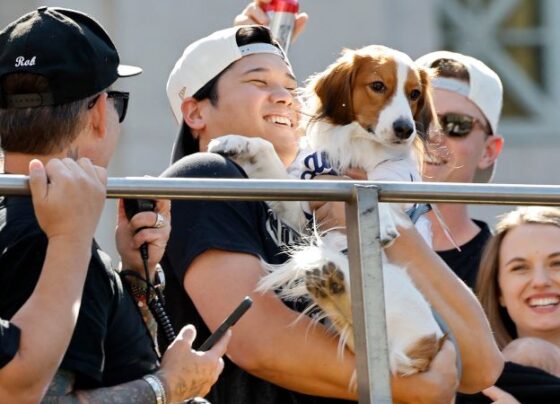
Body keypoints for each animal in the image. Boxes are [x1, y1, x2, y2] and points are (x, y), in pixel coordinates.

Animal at [209, 45, 446, 378]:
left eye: (414, 94)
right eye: (378, 86)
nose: (405, 129)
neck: (359, 146)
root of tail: (424, 347)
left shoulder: (398, 177)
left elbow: (383, 182)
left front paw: (383, 221)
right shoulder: (301, 208)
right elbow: (266, 149)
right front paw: (237, 142)